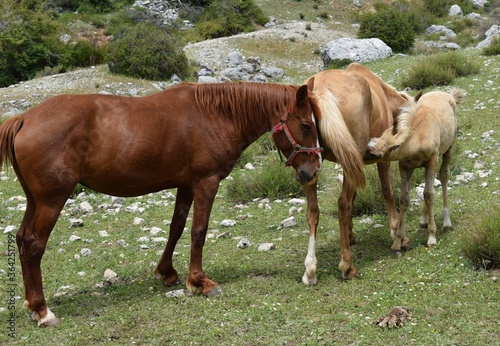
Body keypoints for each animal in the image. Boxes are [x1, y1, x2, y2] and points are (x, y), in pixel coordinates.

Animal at [0, 79, 324, 326]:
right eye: (307, 125)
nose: (312, 171)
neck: (214, 115)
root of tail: (23, 119)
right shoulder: (206, 182)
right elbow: (198, 231)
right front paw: (200, 281)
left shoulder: (185, 184)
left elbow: (177, 227)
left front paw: (167, 272)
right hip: (51, 201)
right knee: (33, 245)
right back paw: (43, 311)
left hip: (35, 201)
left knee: (22, 239)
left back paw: (32, 305)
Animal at [300, 62, 414, 284]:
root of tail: (318, 89)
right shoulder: (382, 161)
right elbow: (387, 192)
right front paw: (397, 233)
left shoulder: (351, 164)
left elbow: (353, 199)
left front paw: (350, 236)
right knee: (342, 204)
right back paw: (347, 266)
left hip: (308, 167)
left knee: (313, 210)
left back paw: (310, 270)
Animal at [368, 88, 464, 251]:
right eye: (379, 137)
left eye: (392, 148)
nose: (370, 152)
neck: (418, 136)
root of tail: (449, 95)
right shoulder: (405, 166)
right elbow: (404, 199)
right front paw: (397, 242)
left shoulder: (432, 160)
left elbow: (429, 195)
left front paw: (432, 237)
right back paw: (424, 220)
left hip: (448, 149)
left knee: (444, 175)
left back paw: (446, 223)